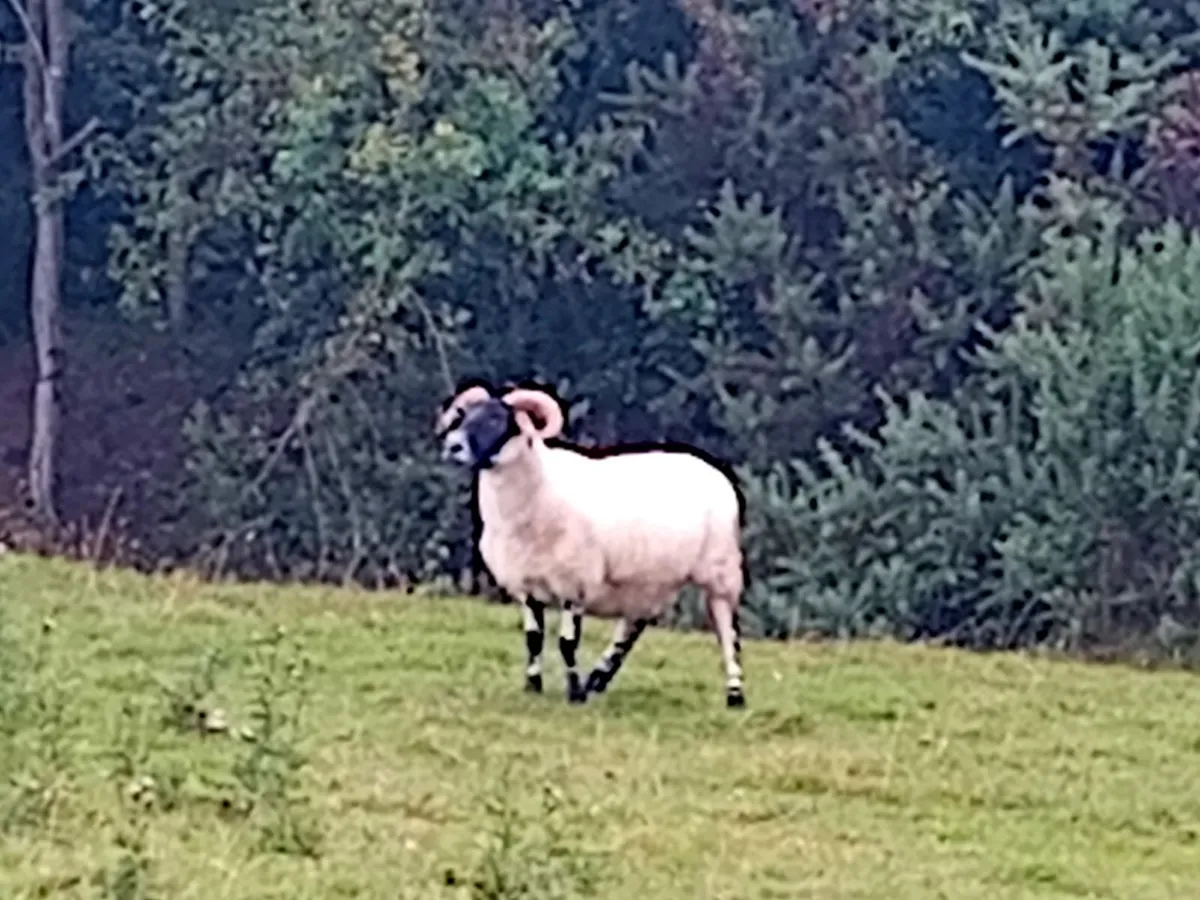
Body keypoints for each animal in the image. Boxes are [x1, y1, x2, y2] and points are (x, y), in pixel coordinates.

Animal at [435, 380, 747, 708]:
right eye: (463, 416)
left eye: (496, 419)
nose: (453, 446)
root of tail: (714, 471)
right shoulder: (526, 586)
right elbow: (533, 639)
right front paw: (533, 686)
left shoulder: (575, 586)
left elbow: (567, 643)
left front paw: (573, 693)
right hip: (649, 581)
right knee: (631, 628)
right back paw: (597, 679)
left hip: (720, 573)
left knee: (728, 633)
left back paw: (735, 694)